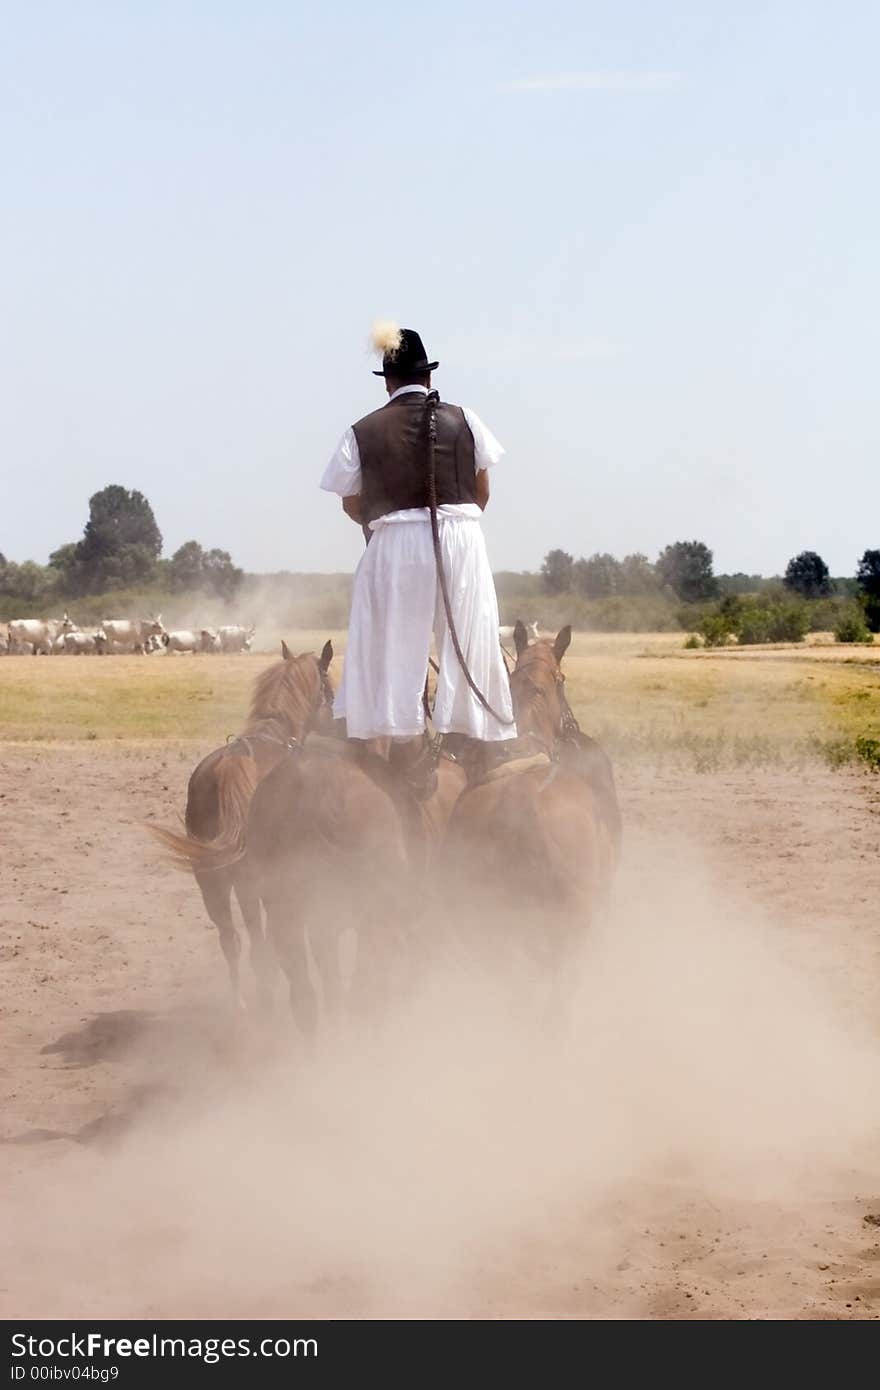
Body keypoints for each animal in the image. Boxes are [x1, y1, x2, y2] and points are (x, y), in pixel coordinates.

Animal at [150, 636, 332, 1006]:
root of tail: (229, 766)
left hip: (211, 880)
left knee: (231, 941)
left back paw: (239, 1004)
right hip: (252, 883)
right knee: (259, 947)